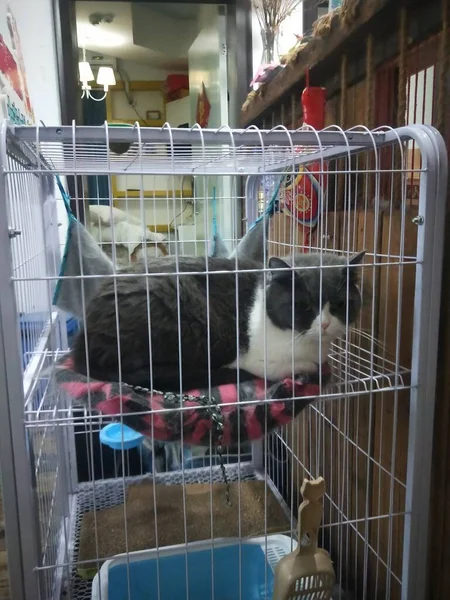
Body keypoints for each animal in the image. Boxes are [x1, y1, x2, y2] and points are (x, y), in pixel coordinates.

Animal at [71, 251, 366, 392]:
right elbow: (297, 366)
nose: (325, 324)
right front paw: (311, 367)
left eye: (339, 305)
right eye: (304, 306)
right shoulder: (262, 360)